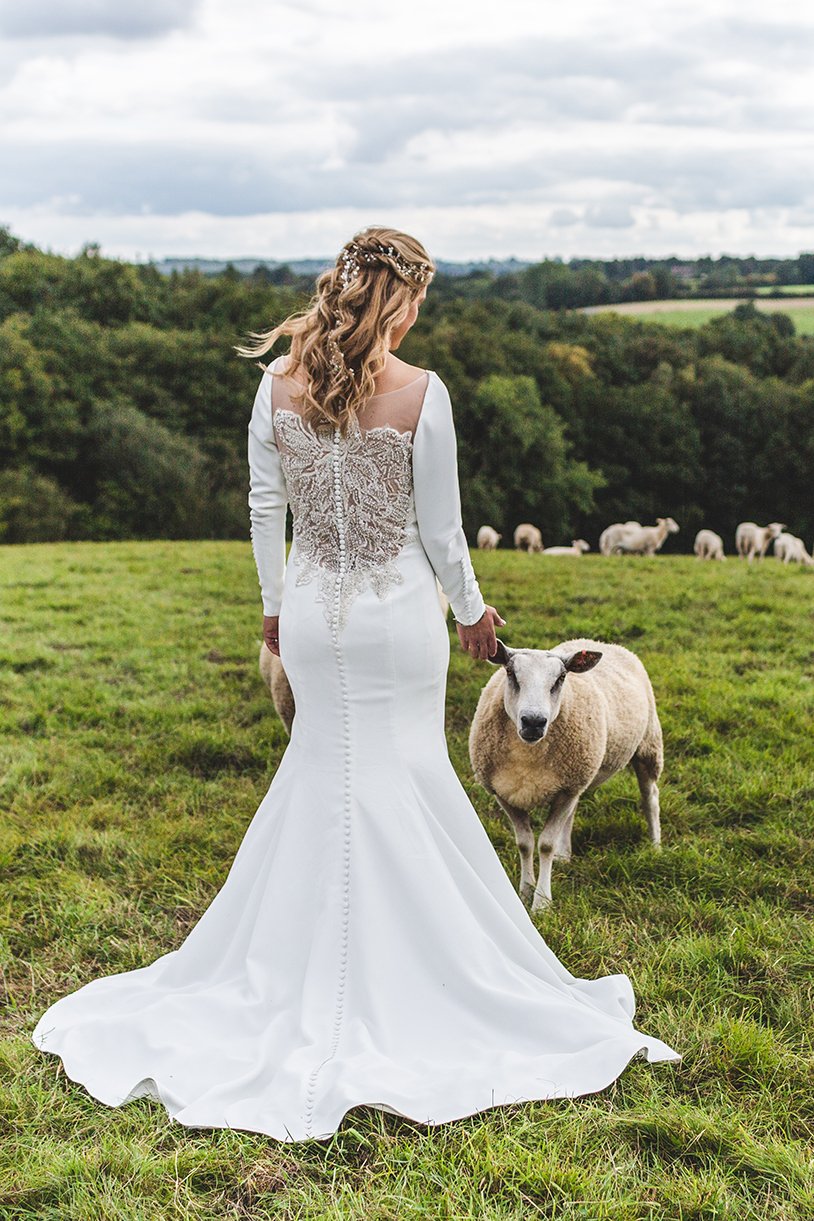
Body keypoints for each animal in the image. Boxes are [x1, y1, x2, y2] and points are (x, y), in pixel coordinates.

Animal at [468, 639, 663, 908]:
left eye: (561, 678)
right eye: (510, 673)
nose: (533, 721)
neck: (528, 753)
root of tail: (604, 643)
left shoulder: (565, 791)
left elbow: (545, 845)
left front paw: (542, 902)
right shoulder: (505, 794)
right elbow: (524, 844)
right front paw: (525, 892)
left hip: (646, 745)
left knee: (650, 797)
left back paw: (655, 845)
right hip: (578, 775)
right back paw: (564, 856)